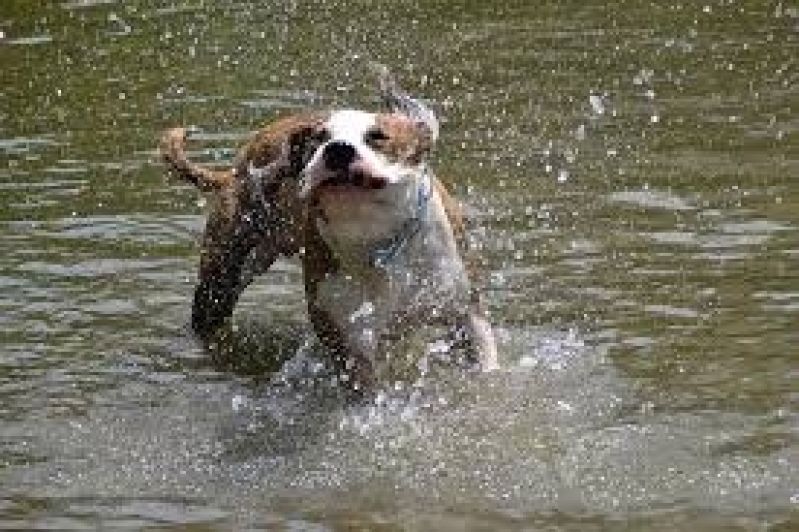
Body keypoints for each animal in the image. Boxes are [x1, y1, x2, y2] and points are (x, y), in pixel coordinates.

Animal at [161, 69, 500, 390]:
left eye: (378, 136)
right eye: (318, 138)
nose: (337, 148)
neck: (374, 238)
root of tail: (240, 164)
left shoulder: (466, 309)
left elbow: (486, 359)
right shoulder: (348, 337)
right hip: (221, 278)